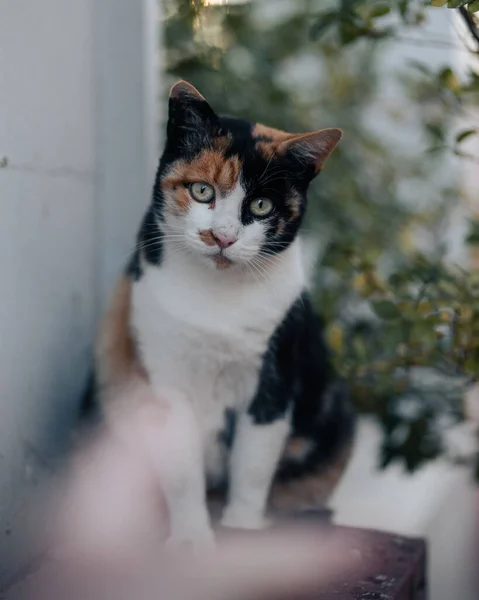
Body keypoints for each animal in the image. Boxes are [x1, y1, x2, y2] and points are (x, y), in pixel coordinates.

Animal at [94, 81, 356, 548]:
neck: (215, 299)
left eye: (262, 206)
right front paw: (190, 542)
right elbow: (181, 471)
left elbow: (252, 464)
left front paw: (243, 529)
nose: (222, 236)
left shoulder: (273, 378)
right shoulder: (165, 380)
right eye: (202, 191)